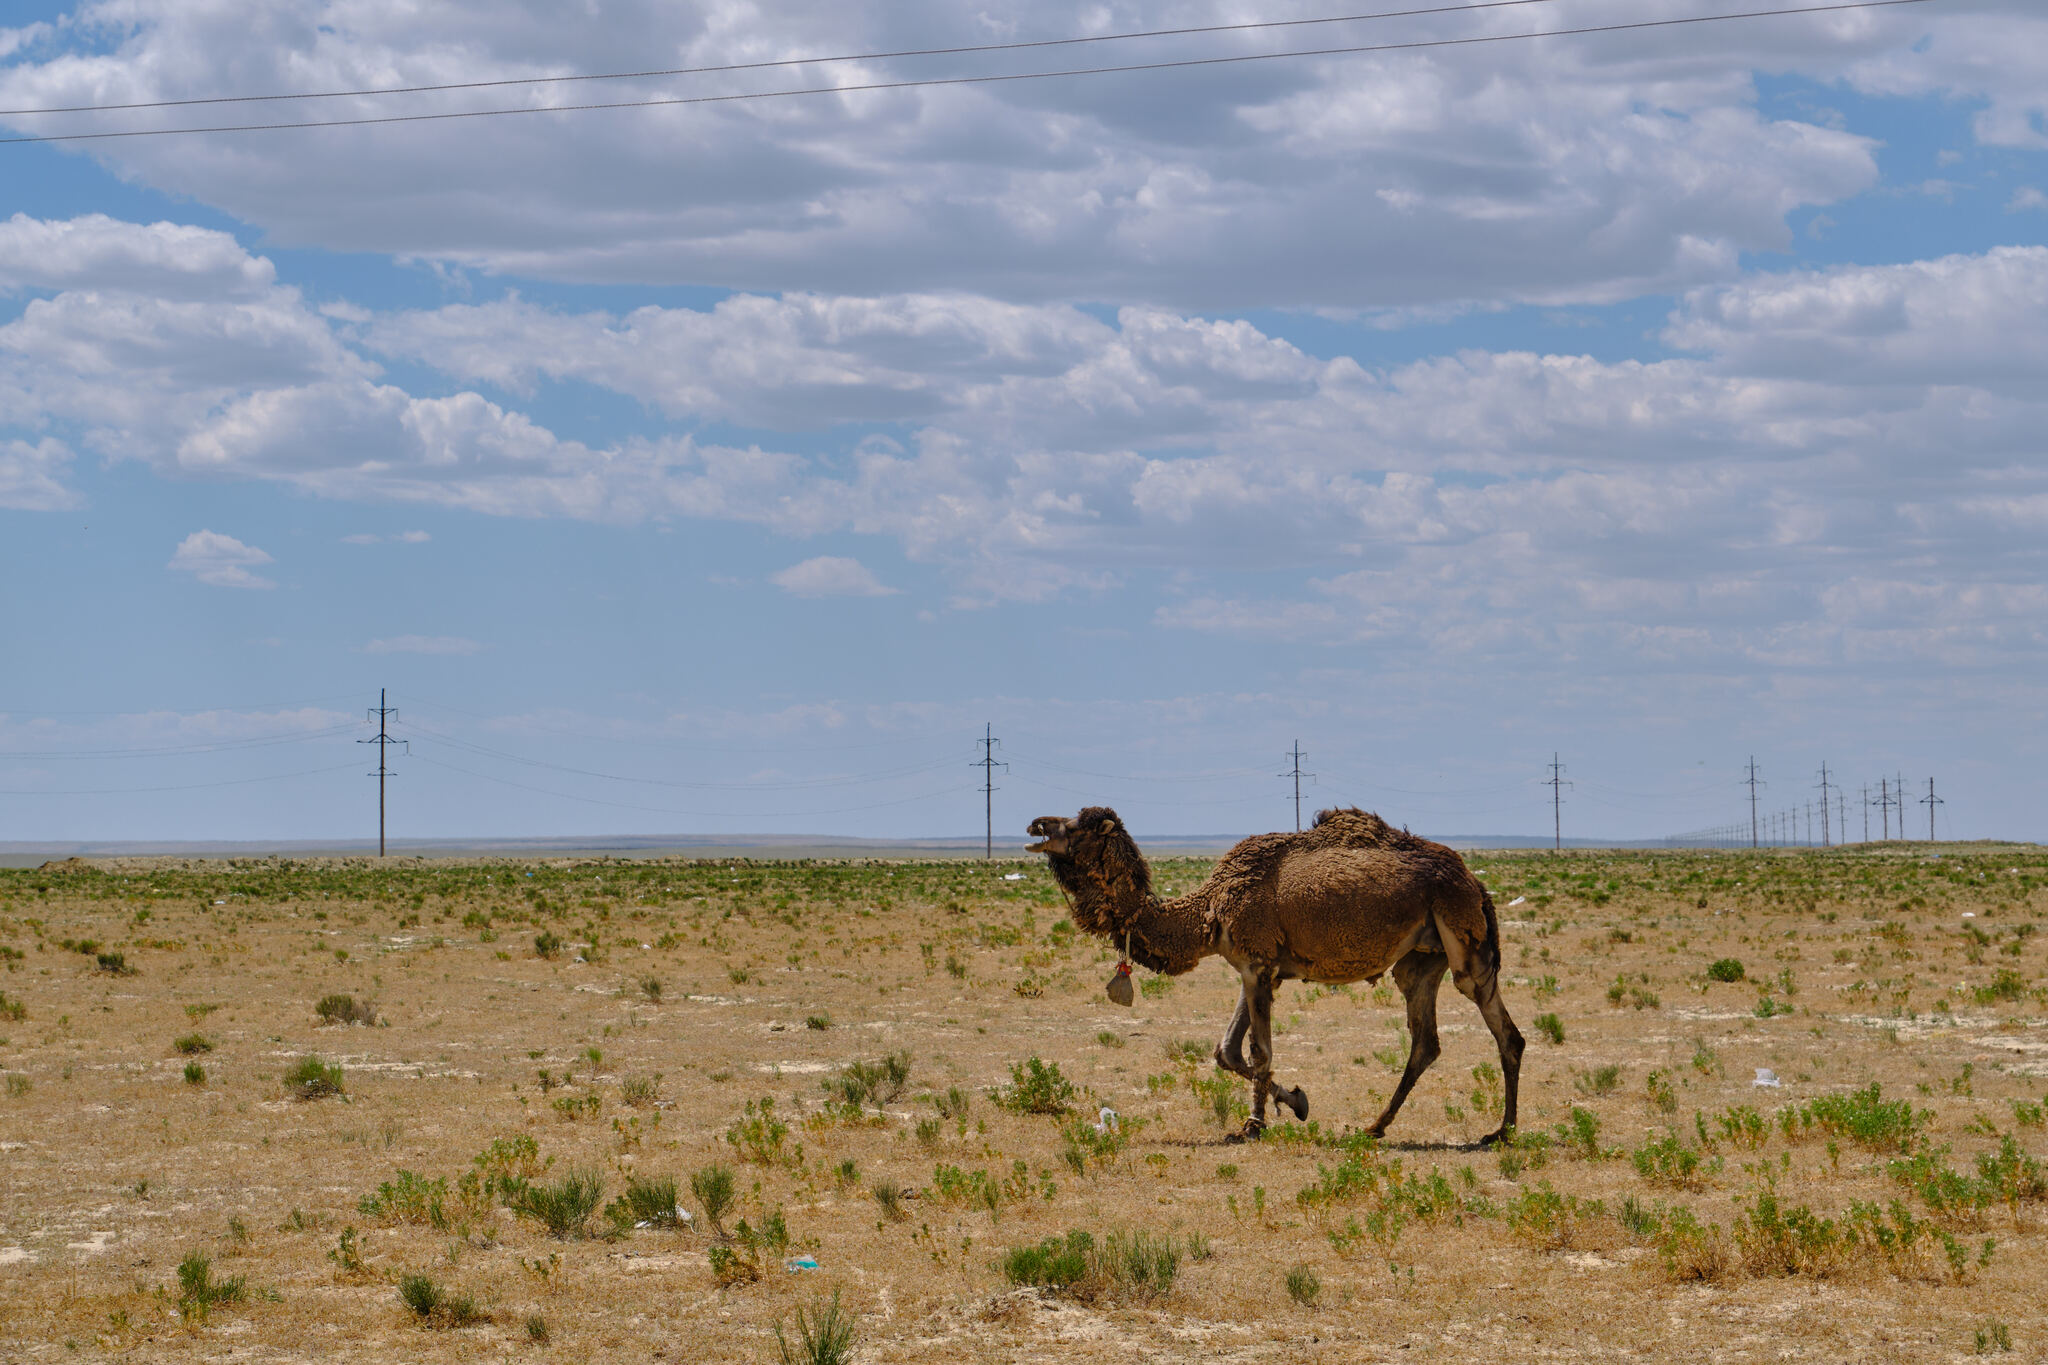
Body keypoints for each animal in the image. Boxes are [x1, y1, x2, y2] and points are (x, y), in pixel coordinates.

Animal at [1024, 806, 1523, 1146]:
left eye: (1076, 825)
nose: (1035, 827)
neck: (1209, 910)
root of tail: (1476, 882)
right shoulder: (1258, 967)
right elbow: (1226, 1051)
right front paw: (1297, 1101)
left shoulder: (1257, 964)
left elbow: (1258, 1050)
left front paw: (1253, 1124)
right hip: (1420, 959)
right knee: (1426, 1041)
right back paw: (1375, 1126)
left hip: (1462, 936)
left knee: (1504, 1032)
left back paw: (1501, 1131)